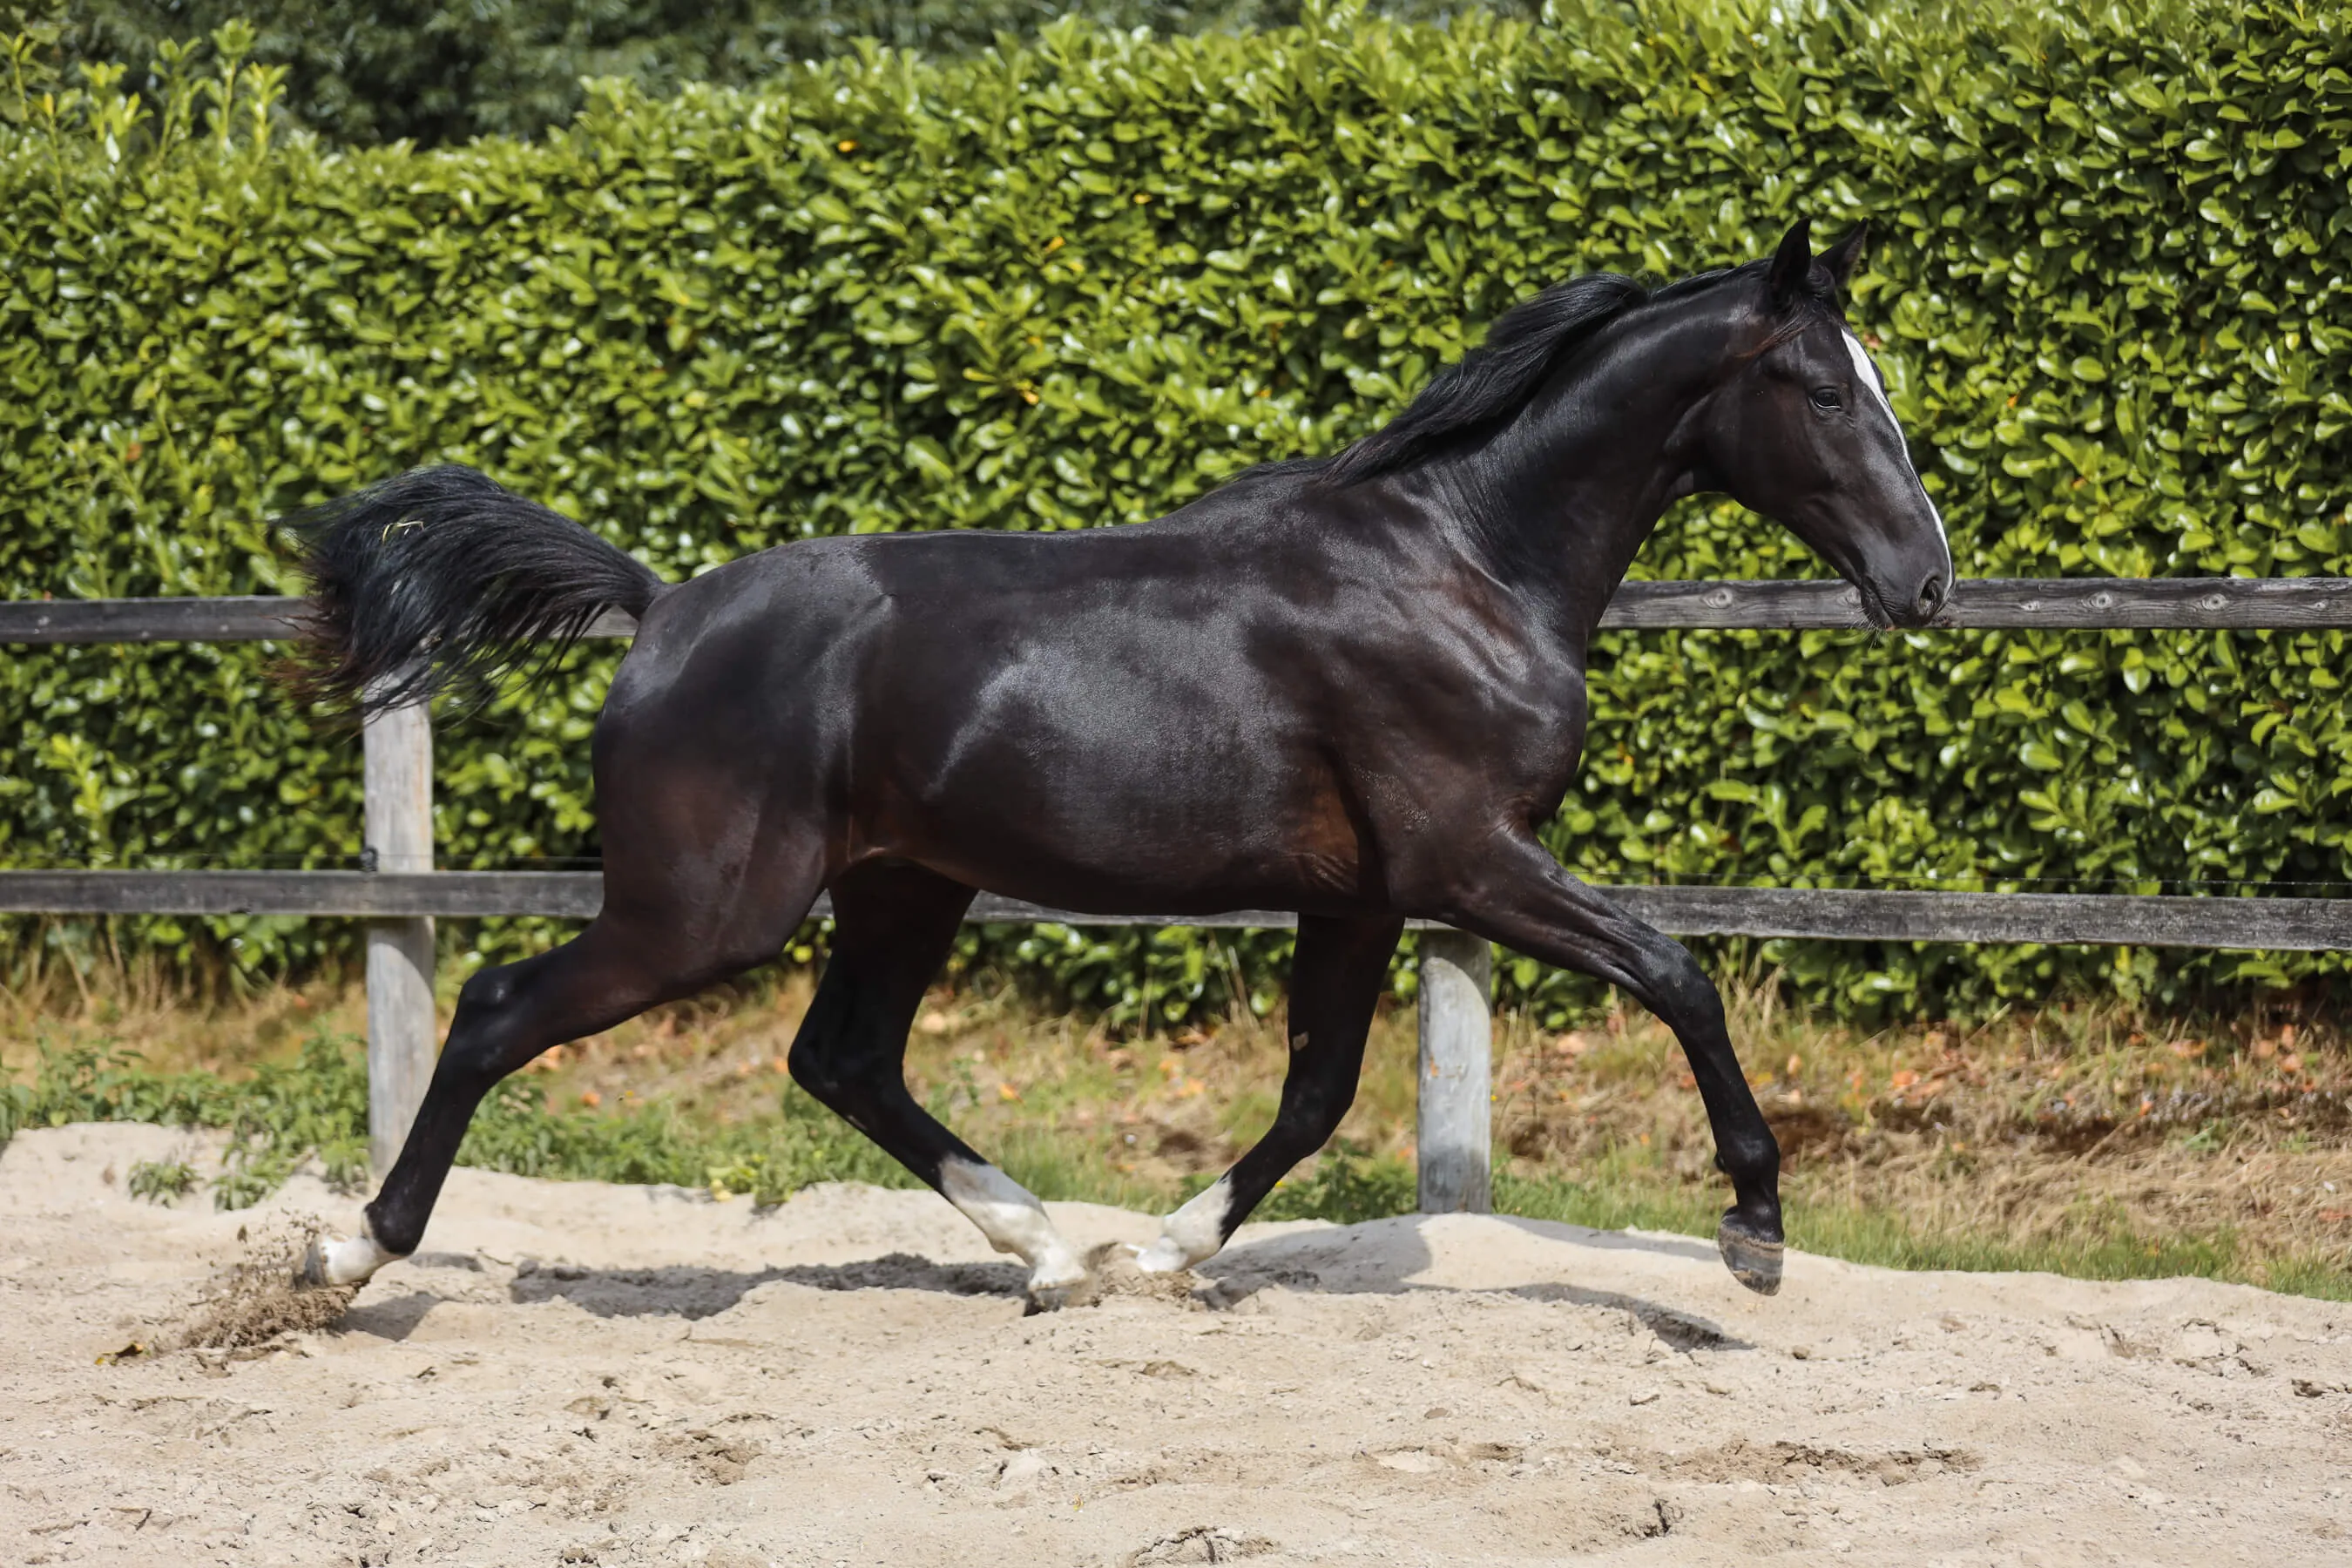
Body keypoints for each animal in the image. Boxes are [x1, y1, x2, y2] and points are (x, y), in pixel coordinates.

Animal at [294, 217, 1949, 1305]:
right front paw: (1756, 1231)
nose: (1926, 582)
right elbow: (1679, 974)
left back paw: (1047, 1253)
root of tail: (660, 609)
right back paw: (350, 1252)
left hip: (903, 888)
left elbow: (1317, 1095)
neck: (1466, 565)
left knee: (843, 1059)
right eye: (1823, 389)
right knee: (502, 1013)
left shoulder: (1361, 895)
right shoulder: (1470, 860)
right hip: (705, 911)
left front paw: (1158, 1248)